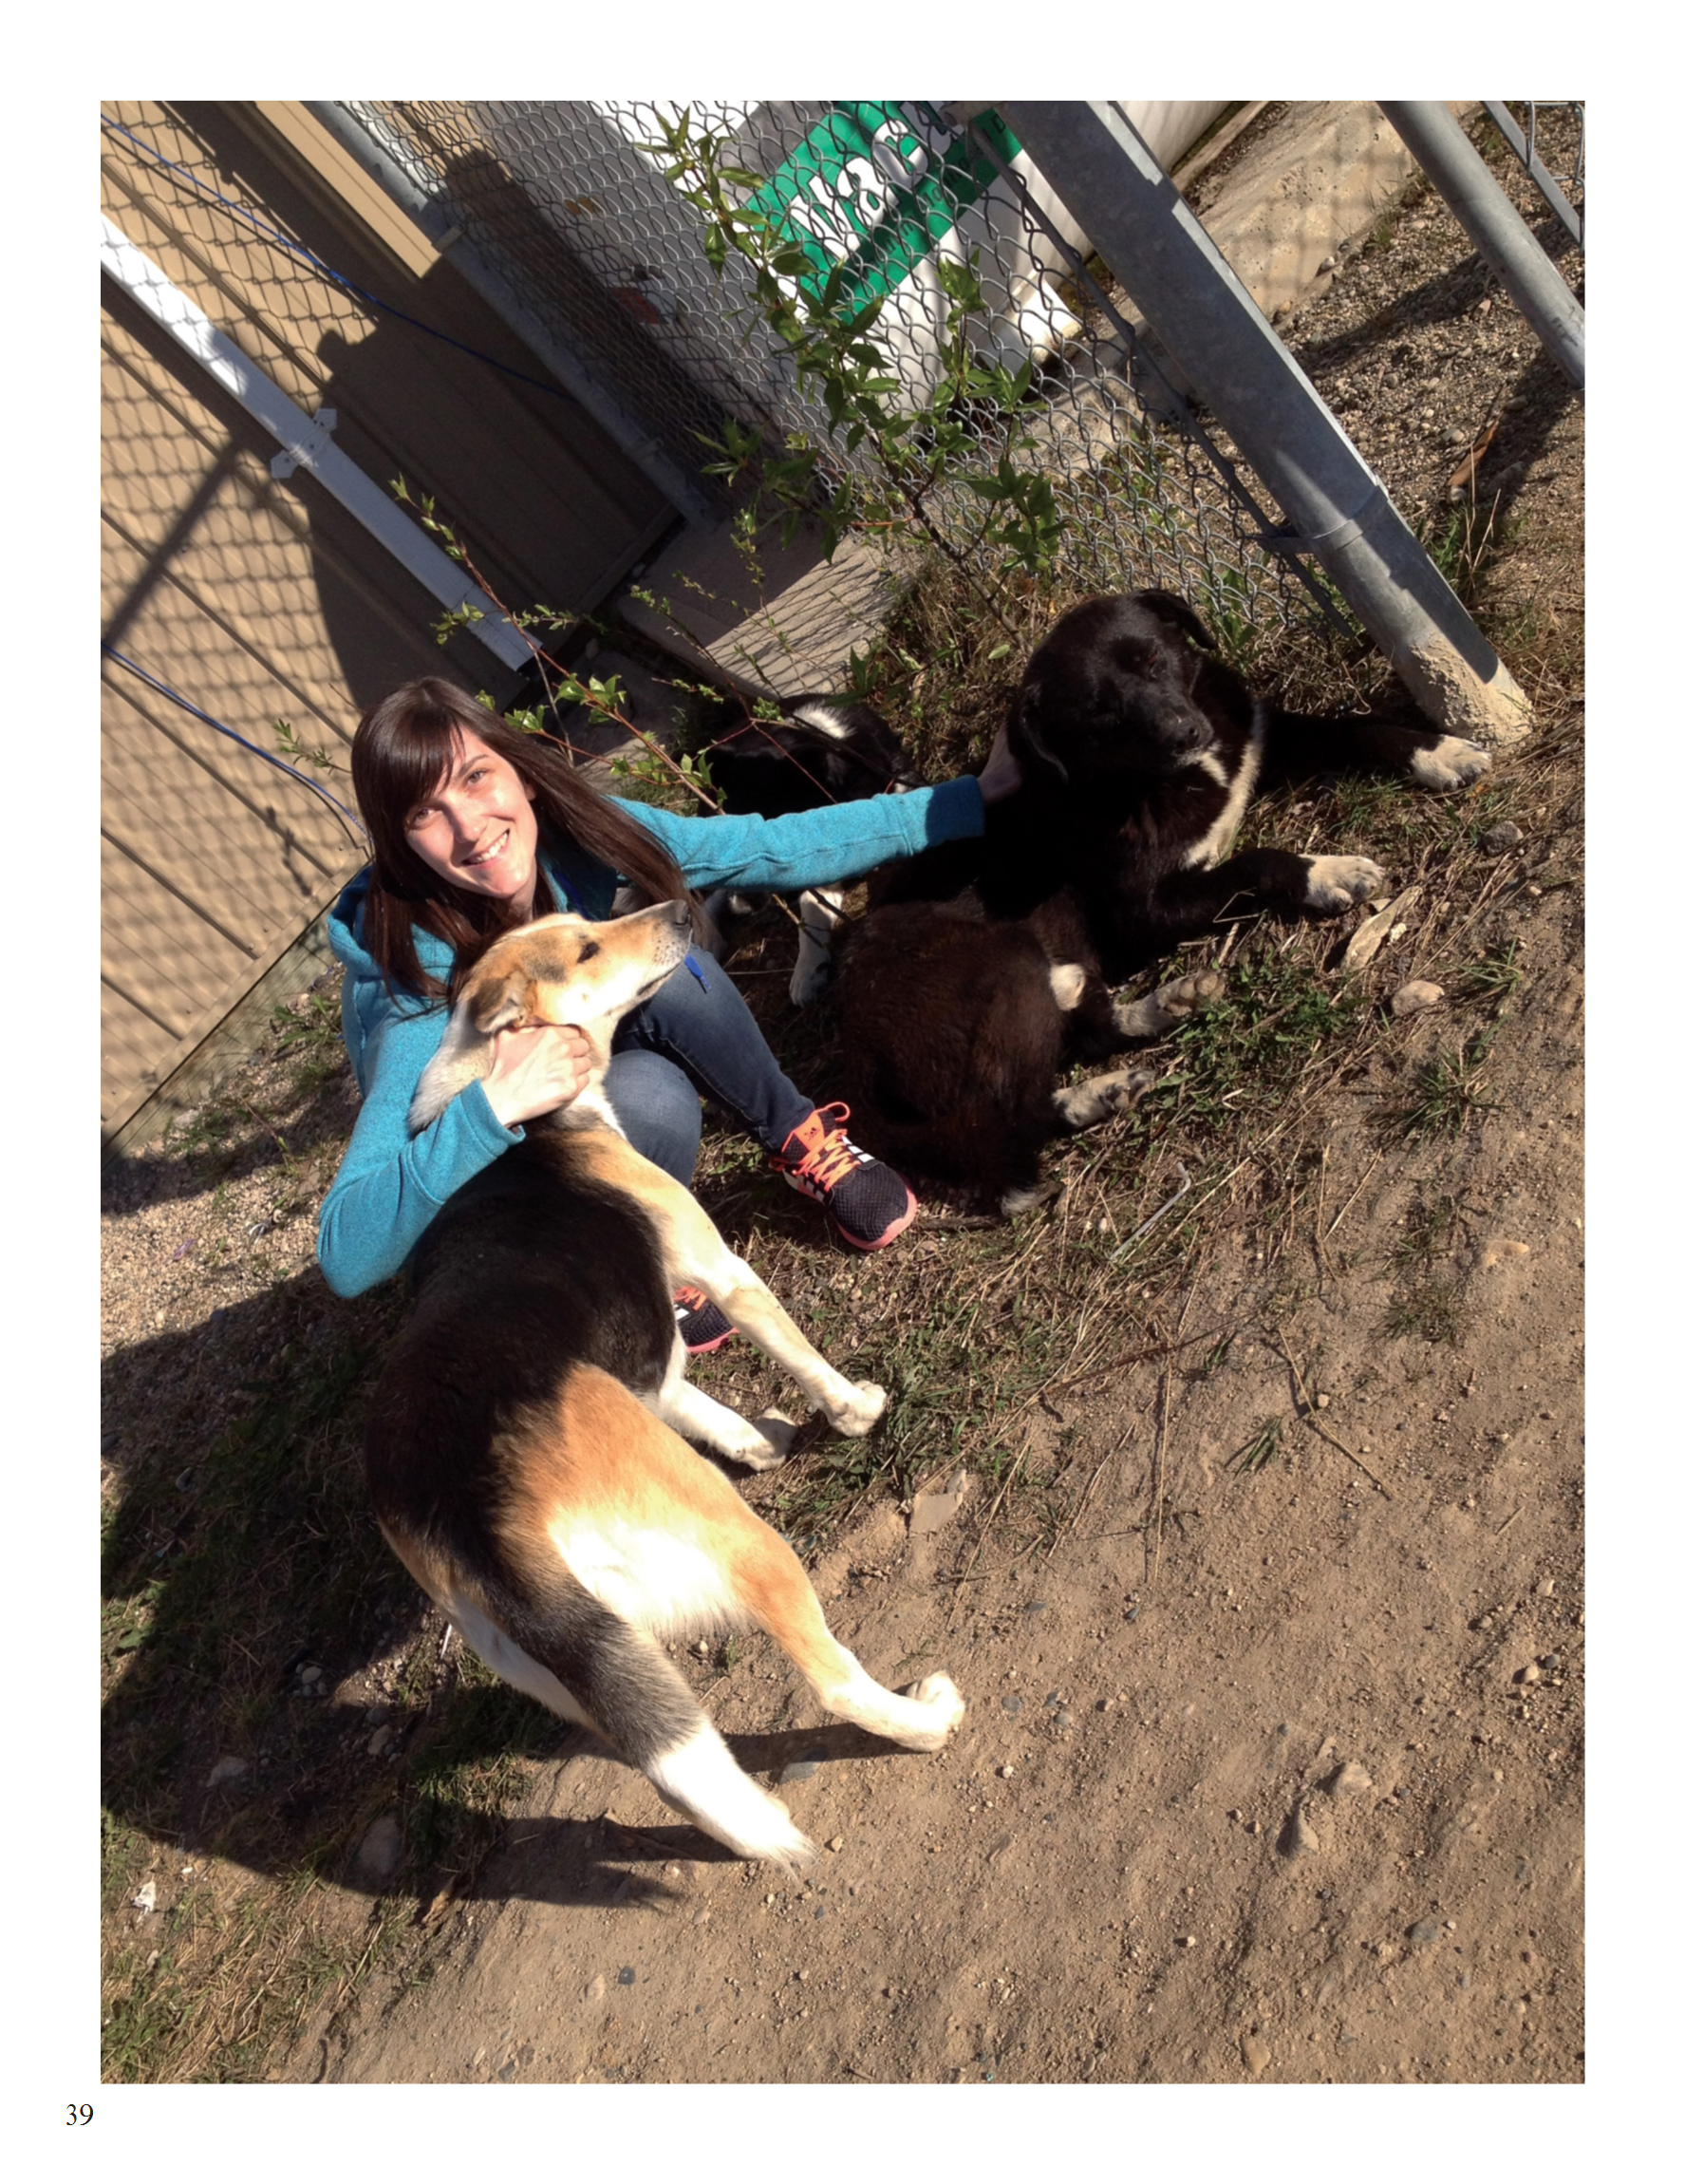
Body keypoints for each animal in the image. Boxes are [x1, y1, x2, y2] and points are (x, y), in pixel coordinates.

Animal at [375, 899, 965, 1868]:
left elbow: (700, 1406)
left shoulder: (645, 1361)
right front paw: (851, 1410)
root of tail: (472, 1513)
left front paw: (759, 1441)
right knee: (832, 1683)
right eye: (584, 947)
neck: (514, 1102)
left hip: (586, 1671)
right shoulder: (724, 1273)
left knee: (683, 1778)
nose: (682, 909)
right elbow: (801, 1358)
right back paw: (923, 1718)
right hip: (746, 1548)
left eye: (578, 922)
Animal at [833, 589, 1492, 1209]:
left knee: (1089, 1034)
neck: (1163, 778)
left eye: (1150, 658)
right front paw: (1326, 872)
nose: (1185, 734)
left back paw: (1162, 1012)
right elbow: (1255, 862)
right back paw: (1099, 1087)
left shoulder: (1260, 735)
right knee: (1013, 1116)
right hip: (1006, 959)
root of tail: (853, 1059)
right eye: (1099, 713)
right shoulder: (1147, 914)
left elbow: (1354, 726)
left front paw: (1440, 752)